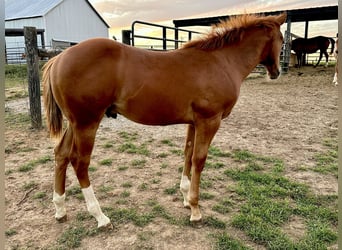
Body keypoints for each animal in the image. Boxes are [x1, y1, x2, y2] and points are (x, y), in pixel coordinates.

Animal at [44, 13, 288, 229]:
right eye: (282, 40)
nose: (276, 72)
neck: (221, 61)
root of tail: (59, 58)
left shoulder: (194, 122)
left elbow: (188, 154)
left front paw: (186, 199)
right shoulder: (209, 120)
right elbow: (199, 159)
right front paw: (196, 210)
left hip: (74, 123)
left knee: (61, 155)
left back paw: (60, 210)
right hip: (87, 123)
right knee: (80, 163)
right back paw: (100, 217)